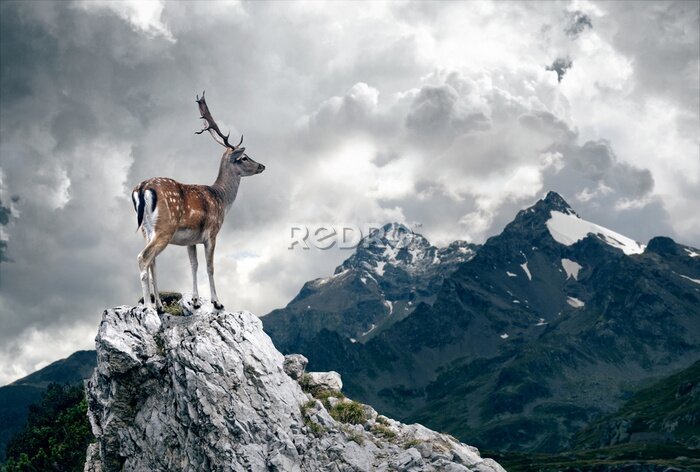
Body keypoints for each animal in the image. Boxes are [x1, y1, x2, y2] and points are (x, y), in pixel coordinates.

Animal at [131, 91, 264, 312]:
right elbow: (210, 267)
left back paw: (159, 305)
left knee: (153, 262)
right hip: (165, 227)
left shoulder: (190, 240)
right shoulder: (211, 232)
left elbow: (194, 265)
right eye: (244, 157)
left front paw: (194, 300)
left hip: (146, 230)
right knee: (144, 258)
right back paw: (149, 306)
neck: (222, 199)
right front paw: (217, 302)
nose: (262, 165)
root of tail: (142, 188)